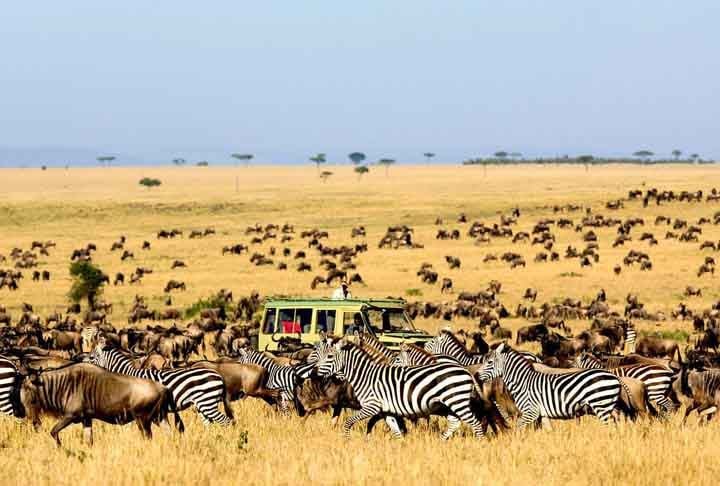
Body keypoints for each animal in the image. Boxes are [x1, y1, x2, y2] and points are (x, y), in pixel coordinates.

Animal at [316, 339, 486, 439]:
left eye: (329, 356)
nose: (315, 371)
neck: (365, 375)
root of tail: (465, 370)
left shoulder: (372, 406)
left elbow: (348, 422)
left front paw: (346, 440)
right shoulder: (386, 410)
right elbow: (396, 431)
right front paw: (399, 448)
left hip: (456, 400)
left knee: (475, 423)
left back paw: (479, 444)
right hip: (450, 403)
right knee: (455, 423)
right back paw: (441, 442)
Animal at [477, 343, 621, 428]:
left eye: (489, 362)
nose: (477, 375)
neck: (523, 382)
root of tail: (615, 377)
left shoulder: (530, 411)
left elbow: (518, 427)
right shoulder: (542, 413)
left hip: (601, 406)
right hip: (607, 406)